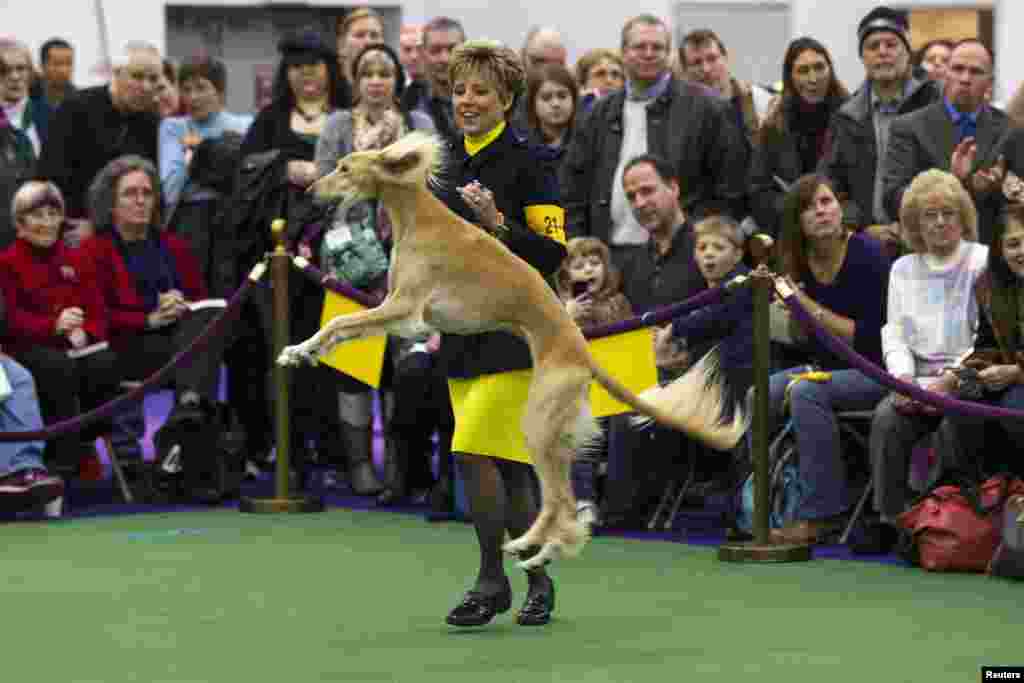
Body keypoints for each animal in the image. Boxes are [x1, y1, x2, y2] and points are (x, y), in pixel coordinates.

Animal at [278, 131, 745, 569]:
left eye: (343, 167)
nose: (308, 191)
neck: (418, 216)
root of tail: (584, 354)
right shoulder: (394, 309)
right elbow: (337, 329)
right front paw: (301, 352)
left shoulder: (404, 309)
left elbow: (339, 323)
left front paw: (299, 349)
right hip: (556, 431)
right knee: (566, 505)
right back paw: (539, 551)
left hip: (538, 422)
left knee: (559, 502)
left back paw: (528, 547)